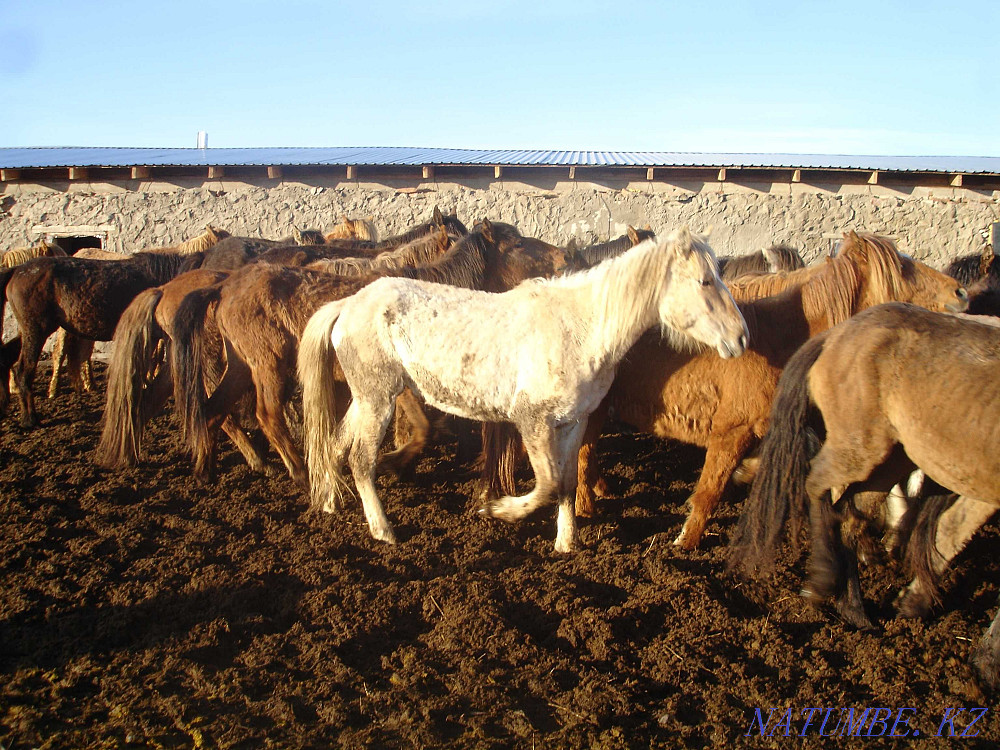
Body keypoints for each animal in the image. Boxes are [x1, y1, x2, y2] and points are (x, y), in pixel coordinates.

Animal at [297, 227, 749, 553]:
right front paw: (498, 509)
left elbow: (566, 483)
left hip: (366, 399)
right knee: (360, 459)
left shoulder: (573, 422)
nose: (741, 338)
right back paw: (384, 531)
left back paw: (330, 502)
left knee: (335, 445)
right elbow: (546, 484)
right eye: (705, 281)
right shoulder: (533, 420)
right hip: (378, 399)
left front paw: (566, 545)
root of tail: (349, 304)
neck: (580, 328)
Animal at [482, 232, 969, 549]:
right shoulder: (730, 433)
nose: (962, 294)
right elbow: (709, 491)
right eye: (903, 268)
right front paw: (684, 542)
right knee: (582, 457)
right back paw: (585, 507)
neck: (780, 335)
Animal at [728, 303, 1000, 690]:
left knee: (853, 517)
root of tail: (837, 334)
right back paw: (823, 580)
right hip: (861, 449)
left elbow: (950, 531)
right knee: (818, 486)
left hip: (893, 456)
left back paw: (855, 608)